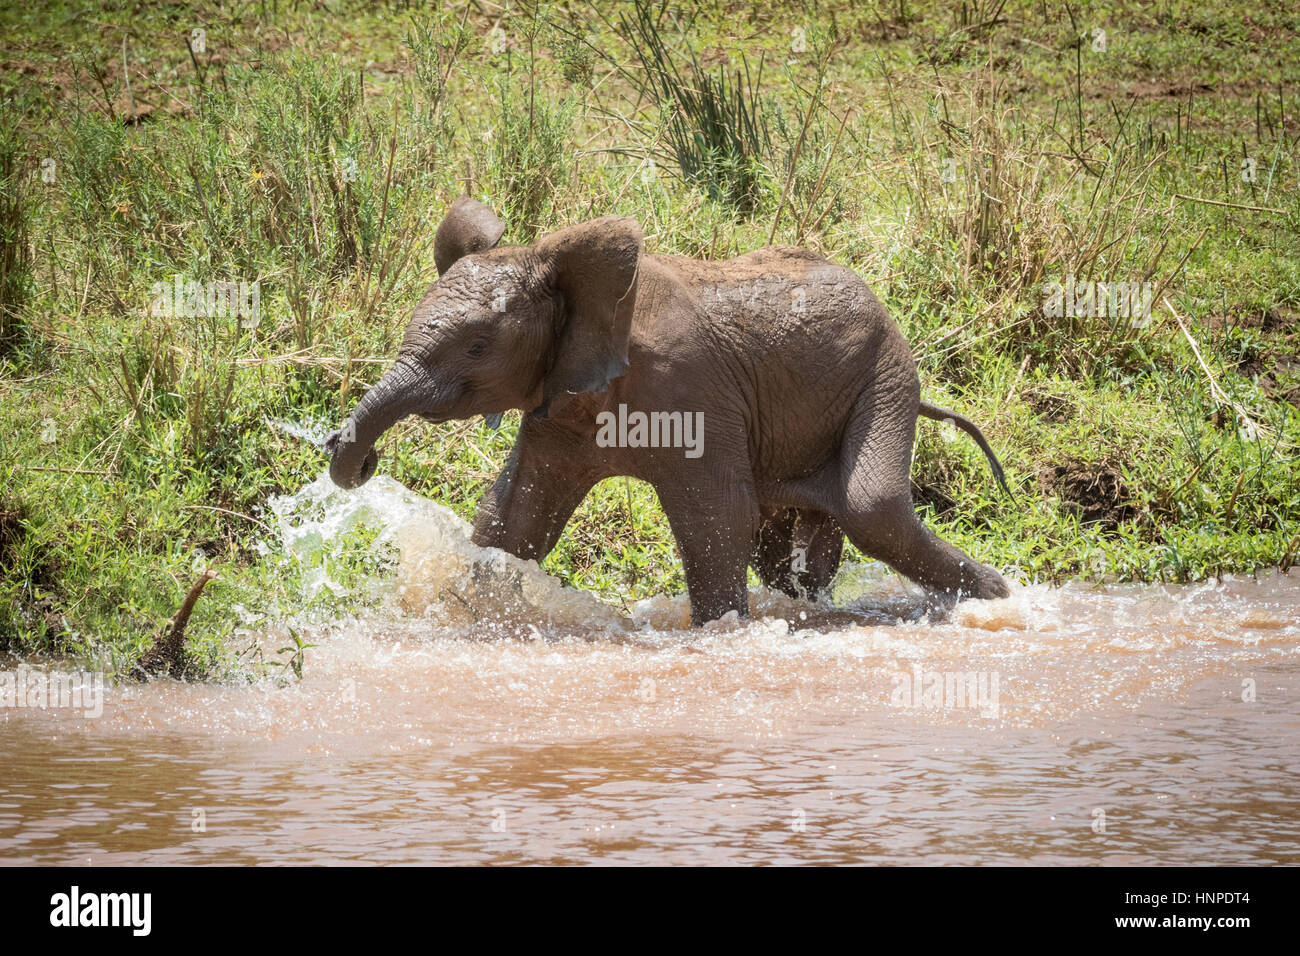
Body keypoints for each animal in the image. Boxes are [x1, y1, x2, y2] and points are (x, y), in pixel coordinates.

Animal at [319, 197, 1008, 624]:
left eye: (477, 347)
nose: (356, 456)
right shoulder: (560, 405)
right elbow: (512, 521)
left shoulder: (690, 388)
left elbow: (716, 519)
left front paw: (723, 633)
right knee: (794, 542)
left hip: (887, 372)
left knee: (871, 508)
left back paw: (1000, 599)